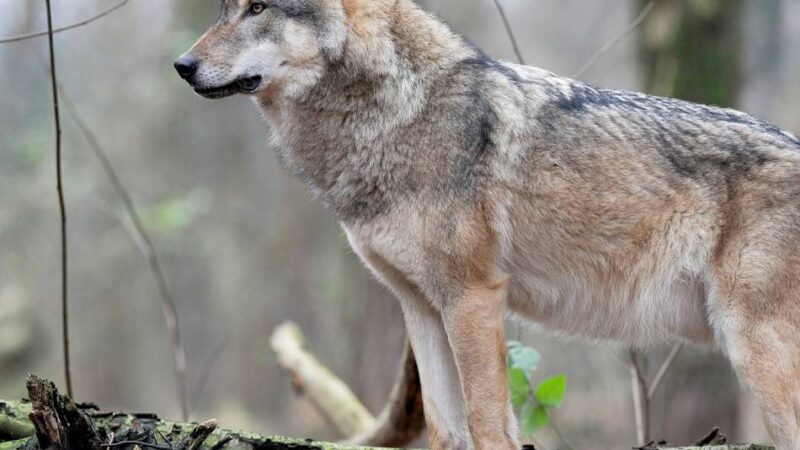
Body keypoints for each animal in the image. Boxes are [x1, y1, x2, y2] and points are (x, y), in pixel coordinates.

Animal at [175, 1, 800, 448]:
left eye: (259, 6)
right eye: (226, 6)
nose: (182, 66)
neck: (396, 113)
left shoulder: (472, 297)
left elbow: (487, 425)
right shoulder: (422, 309)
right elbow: (446, 432)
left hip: (756, 352)